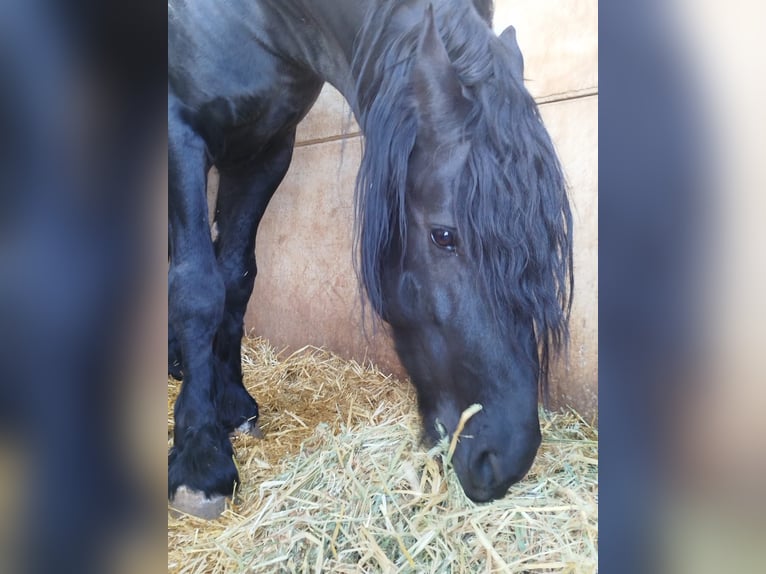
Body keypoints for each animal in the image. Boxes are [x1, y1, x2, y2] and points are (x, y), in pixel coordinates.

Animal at [168, 0, 572, 518]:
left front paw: (233, 403)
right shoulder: (181, 133)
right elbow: (198, 288)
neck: (260, 19)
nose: (506, 458)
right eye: (444, 236)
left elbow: (236, 276)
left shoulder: (264, 152)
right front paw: (201, 456)